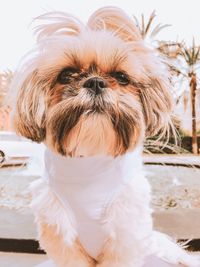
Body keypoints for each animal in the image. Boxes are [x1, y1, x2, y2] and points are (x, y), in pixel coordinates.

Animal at [11, 6, 200, 267]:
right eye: (66, 75)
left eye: (121, 77)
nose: (95, 82)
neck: (90, 158)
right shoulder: (64, 239)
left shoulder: (124, 238)